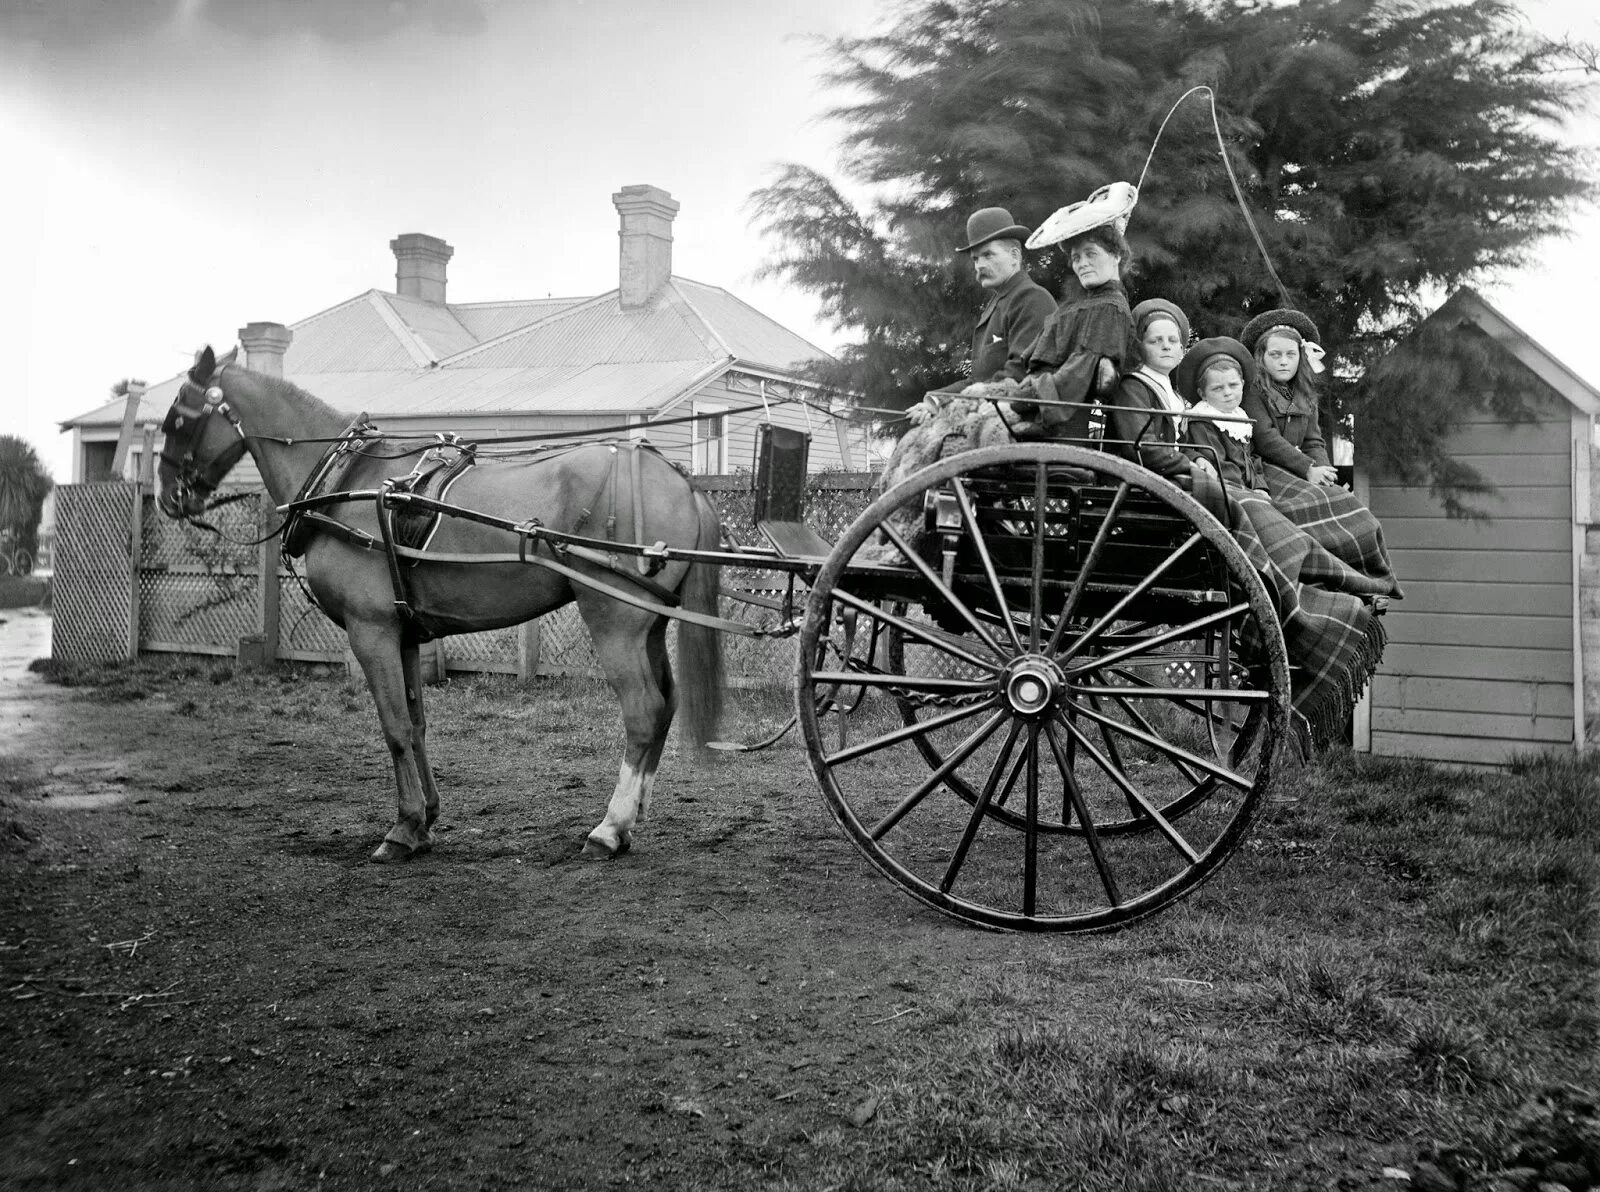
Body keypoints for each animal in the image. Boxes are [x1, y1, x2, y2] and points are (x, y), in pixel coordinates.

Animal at [157, 348, 726, 857]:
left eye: (178, 418)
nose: (167, 497)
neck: (347, 483)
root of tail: (679, 479)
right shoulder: (406, 633)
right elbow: (416, 724)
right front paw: (426, 817)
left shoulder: (371, 631)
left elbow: (393, 727)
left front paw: (403, 828)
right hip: (650, 625)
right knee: (667, 703)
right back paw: (632, 817)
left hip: (614, 621)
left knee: (644, 709)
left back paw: (609, 828)